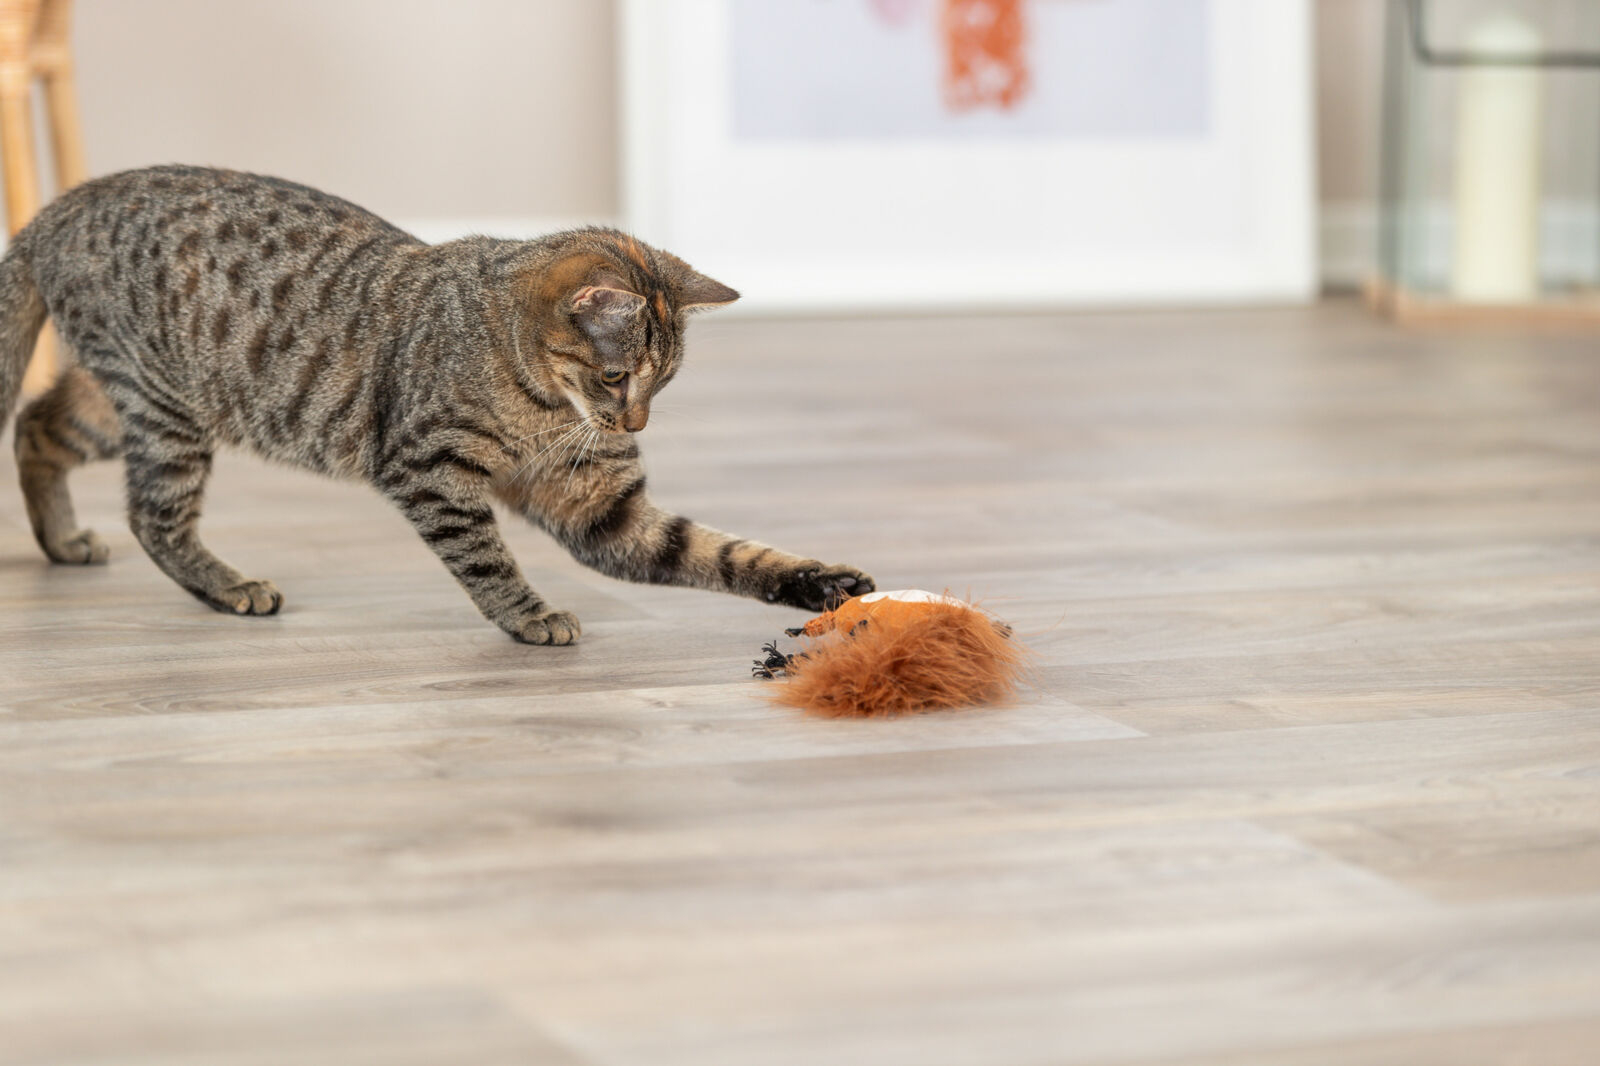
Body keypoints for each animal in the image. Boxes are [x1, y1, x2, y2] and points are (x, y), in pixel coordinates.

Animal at [0, 164, 876, 640]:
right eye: (617, 377)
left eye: (660, 383)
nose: (636, 421)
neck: (546, 407)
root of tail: (54, 210)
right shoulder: (430, 471)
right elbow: (486, 558)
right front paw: (528, 615)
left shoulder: (602, 508)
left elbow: (723, 554)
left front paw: (819, 583)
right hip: (166, 408)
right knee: (152, 514)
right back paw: (227, 584)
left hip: (131, 401)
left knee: (36, 426)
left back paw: (62, 540)